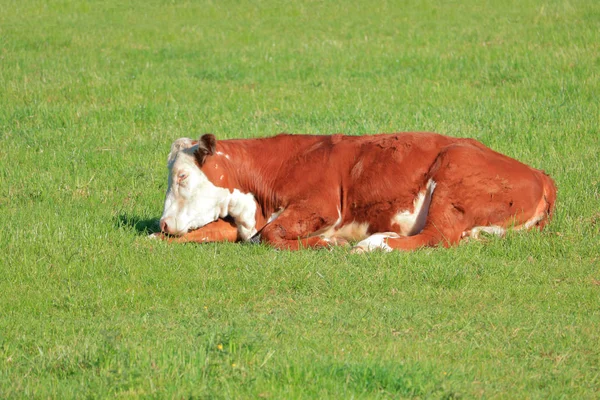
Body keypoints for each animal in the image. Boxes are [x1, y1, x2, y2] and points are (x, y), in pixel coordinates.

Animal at [155, 134, 556, 253]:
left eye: (183, 176)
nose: (163, 223)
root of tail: (540, 174)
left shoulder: (321, 205)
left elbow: (272, 235)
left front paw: (326, 244)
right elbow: (215, 231)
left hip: (453, 172)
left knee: (438, 236)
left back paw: (374, 244)